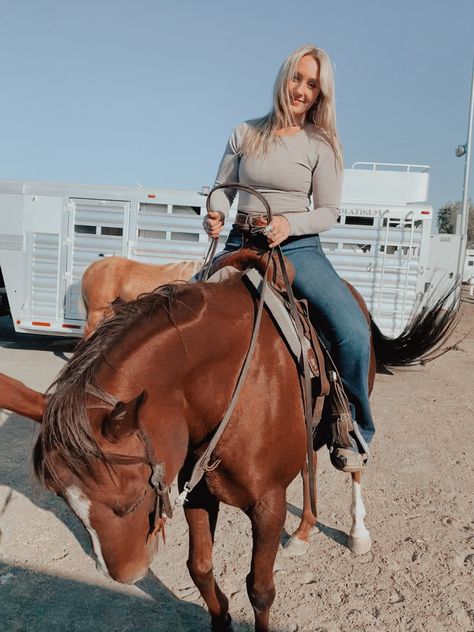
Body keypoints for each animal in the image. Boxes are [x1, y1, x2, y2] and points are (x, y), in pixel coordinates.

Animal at [1, 272, 458, 632]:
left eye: (128, 500)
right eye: (64, 500)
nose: (125, 574)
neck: (230, 385)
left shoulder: (268, 504)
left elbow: (260, 587)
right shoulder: (198, 495)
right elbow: (200, 569)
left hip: (352, 416)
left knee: (353, 466)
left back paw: (357, 532)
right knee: (309, 471)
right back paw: (304, 532)